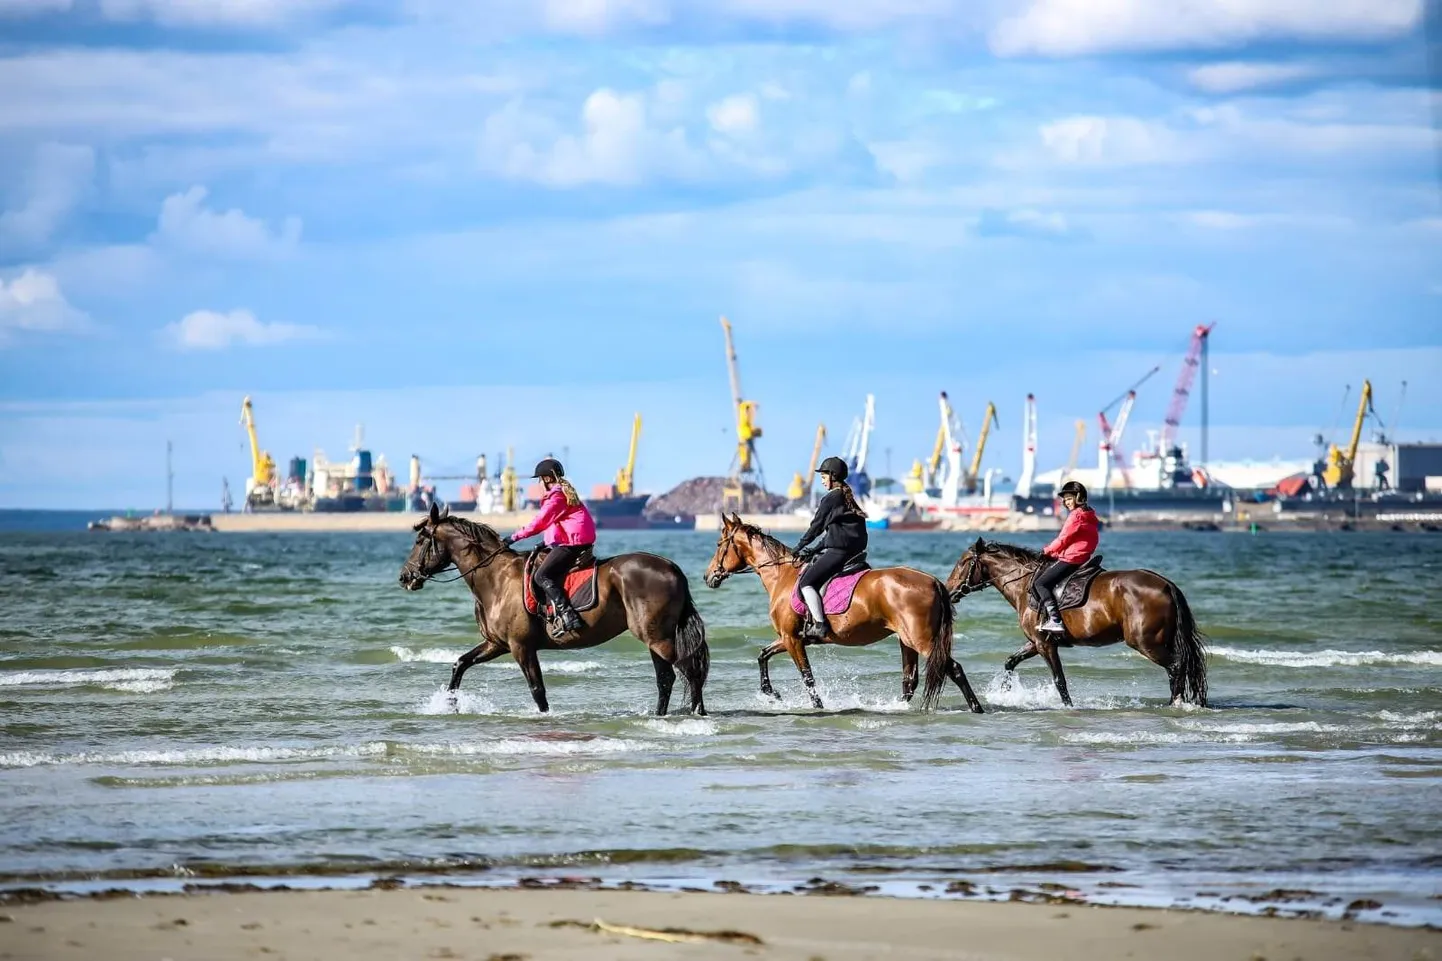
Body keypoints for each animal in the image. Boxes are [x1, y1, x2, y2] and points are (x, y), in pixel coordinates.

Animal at [397, 502, 712, 709]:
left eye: (420, 539)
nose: (405, 577)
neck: (496, 578)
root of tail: (671, 567)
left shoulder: (521, 647)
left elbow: (537, 689)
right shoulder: (497, 644)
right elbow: (459, 664)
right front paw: (450, 703)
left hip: (657, 638)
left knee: (687, 671)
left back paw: (697, 713)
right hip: (655, 638)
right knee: (667, 678)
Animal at [697, 513, 980, 707]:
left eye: (719, 544)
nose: (708, 577)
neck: (782, 575)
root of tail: (932, 581)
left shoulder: (792, 640)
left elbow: (807, 677)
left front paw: (817, 706)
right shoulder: (789, 638)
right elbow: (762, 655)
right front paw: (771, 693)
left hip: (922, 640)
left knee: (953, 668)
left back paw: (975, 707)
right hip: (906, 641)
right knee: (910, 680)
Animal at [945, 533, 1205, 707]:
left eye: (963, 563)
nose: (948, 592)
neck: (1024, 584)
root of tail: (1166, 585)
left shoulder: (1045, 645)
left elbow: (1059, 680)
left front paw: (1068, 708)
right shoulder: (1036, 642)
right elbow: (1010, 661)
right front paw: (1005, 693)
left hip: (1145, 642)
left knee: (1176, 666)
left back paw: (1175, 704)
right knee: (1178, 667)